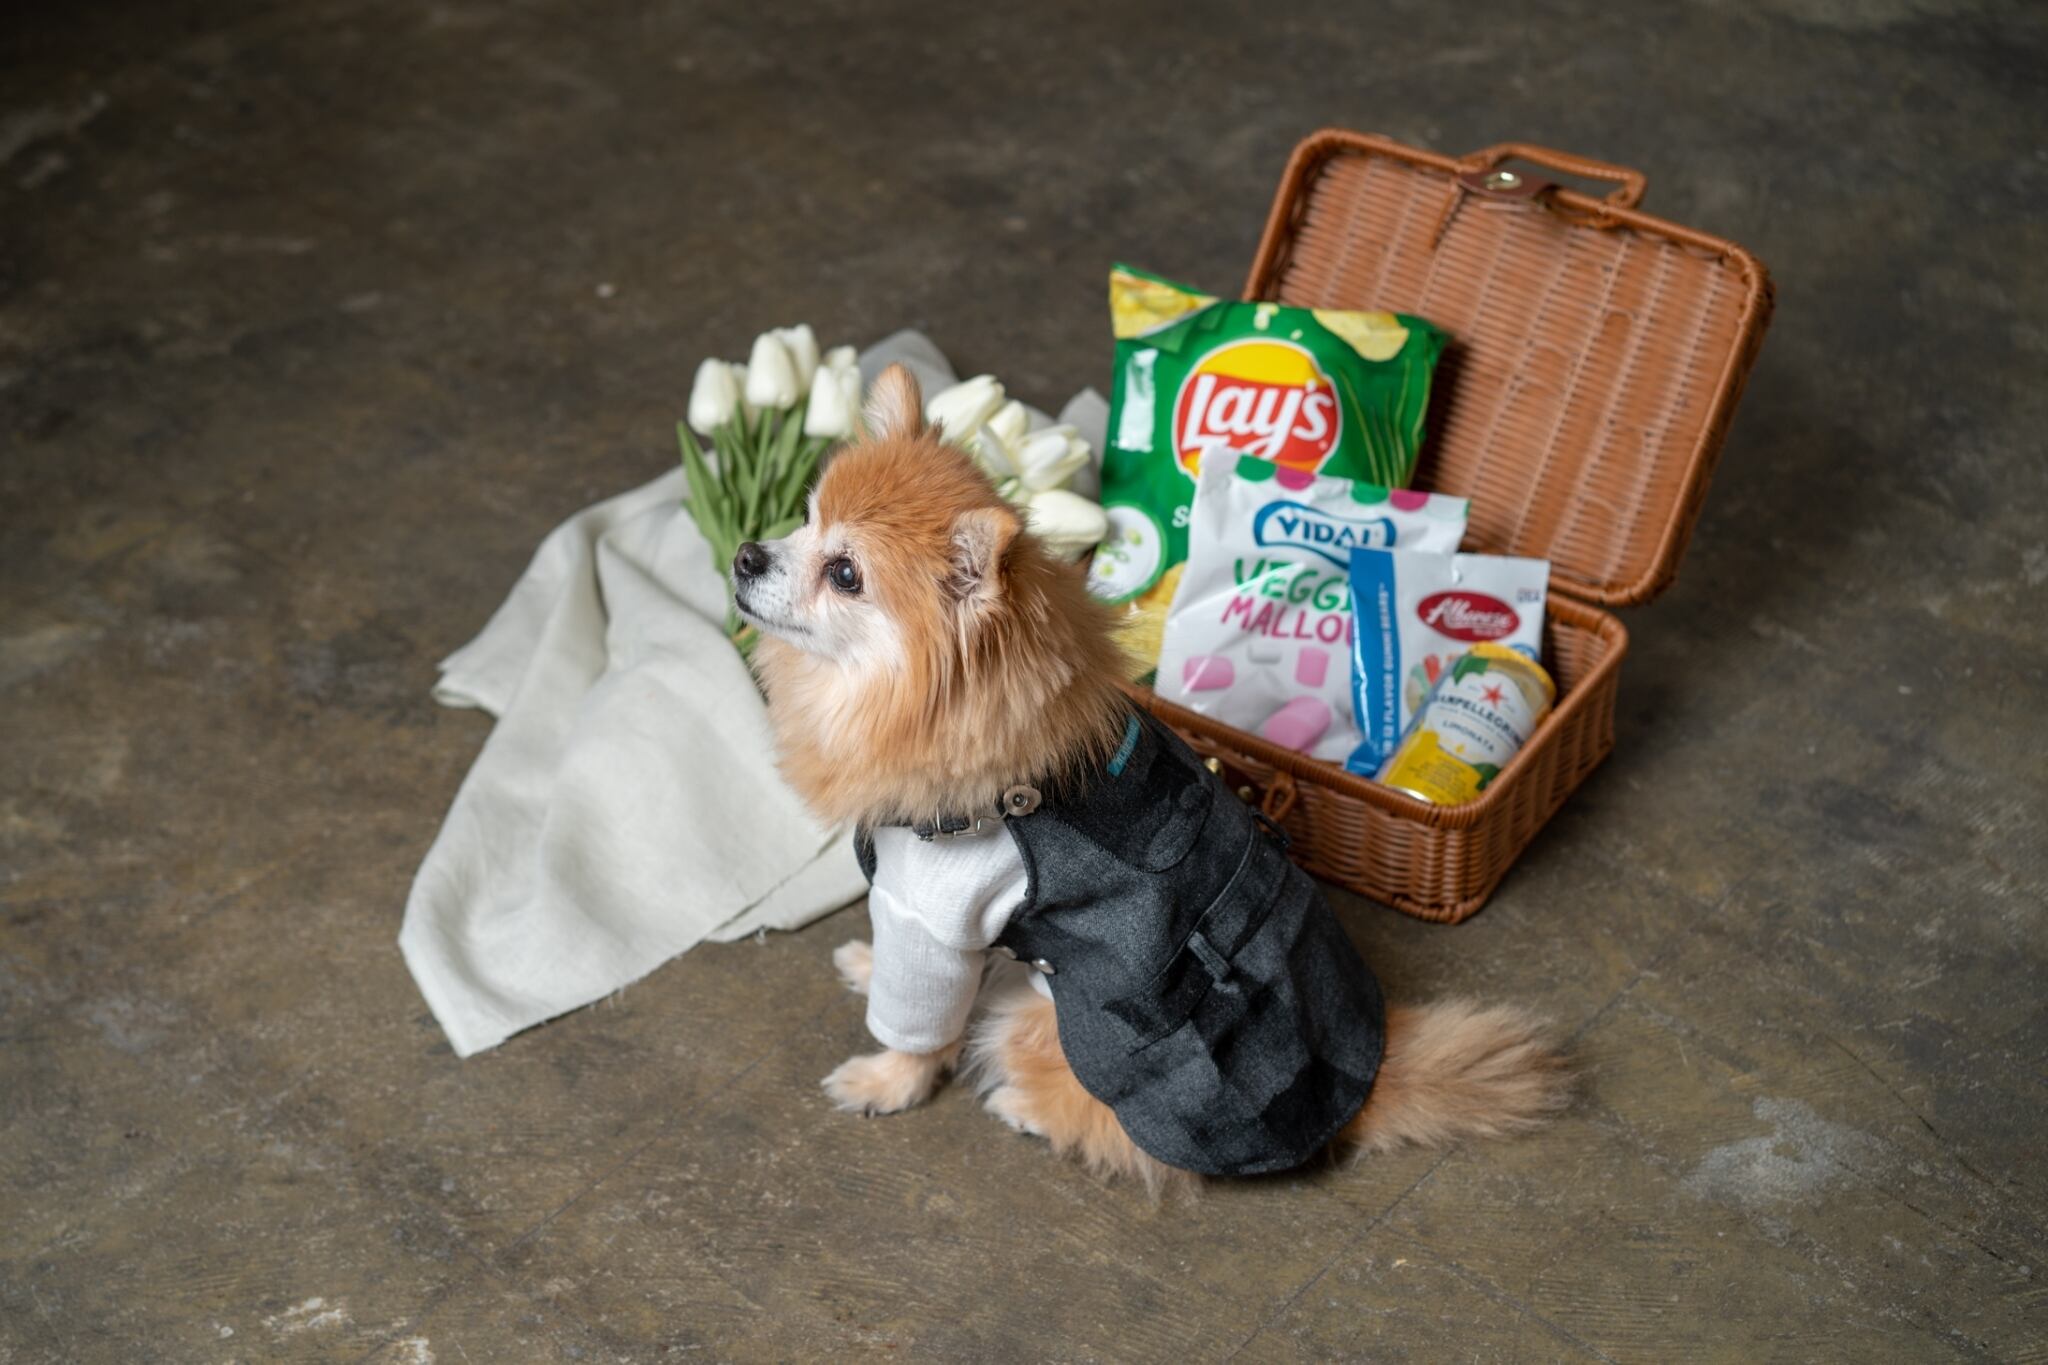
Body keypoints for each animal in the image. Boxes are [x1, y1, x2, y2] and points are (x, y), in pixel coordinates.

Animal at [735, 363, 1566, 1187]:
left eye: (845, 573)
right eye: (803, 520)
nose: (744, 553)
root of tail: (1366, 1082)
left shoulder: (933, 917)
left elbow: (918, 1025)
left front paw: (887, 1081)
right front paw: (867, 963)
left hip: (1069, 1027)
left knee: (1107, 1119)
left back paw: (1028, 1106)